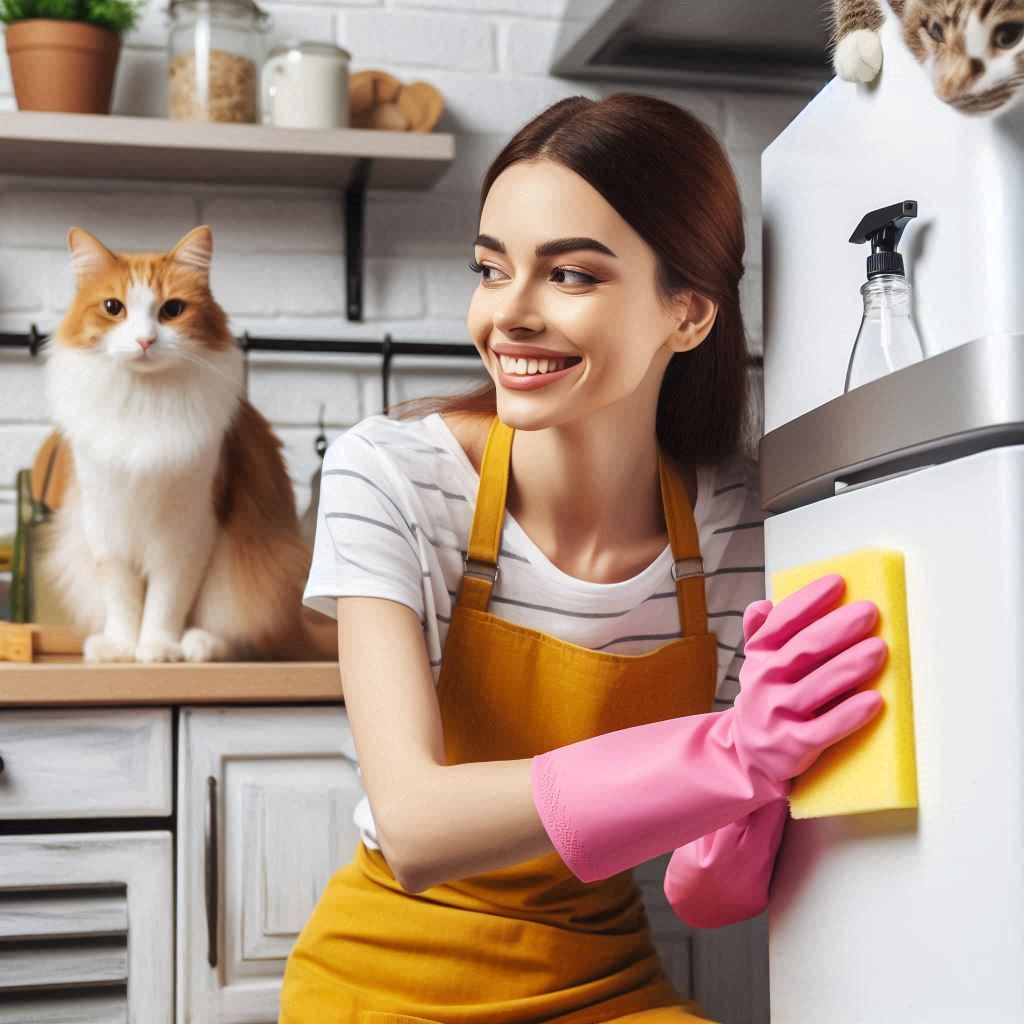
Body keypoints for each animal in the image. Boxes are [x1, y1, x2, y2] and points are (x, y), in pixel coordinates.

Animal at [38, 224, 335, 663]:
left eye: (172, 310)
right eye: (113, 307)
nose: (144, 341)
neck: (142, 402)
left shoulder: (186, 530)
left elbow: (167, 599)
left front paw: (157, 647)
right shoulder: (106, 525)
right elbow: (122, 598)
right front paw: (123, 646)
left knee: (240, 636)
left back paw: (198, 644)